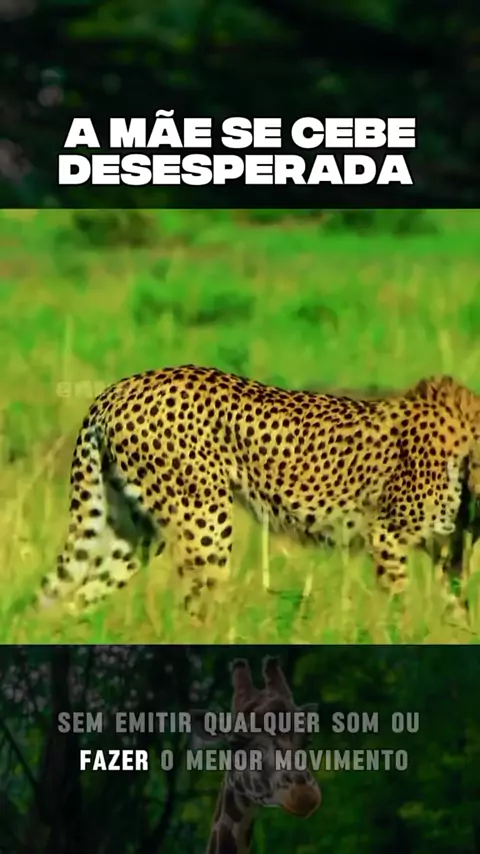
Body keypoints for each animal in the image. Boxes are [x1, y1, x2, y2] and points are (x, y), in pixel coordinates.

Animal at [36, 366, 480, 621]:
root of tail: (118, 388)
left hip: (133, 530)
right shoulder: (386, 535)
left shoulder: (450, 552)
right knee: (196, 609)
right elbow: (401, 601)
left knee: (79, 596)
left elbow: (458, 606)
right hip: (205, 521)